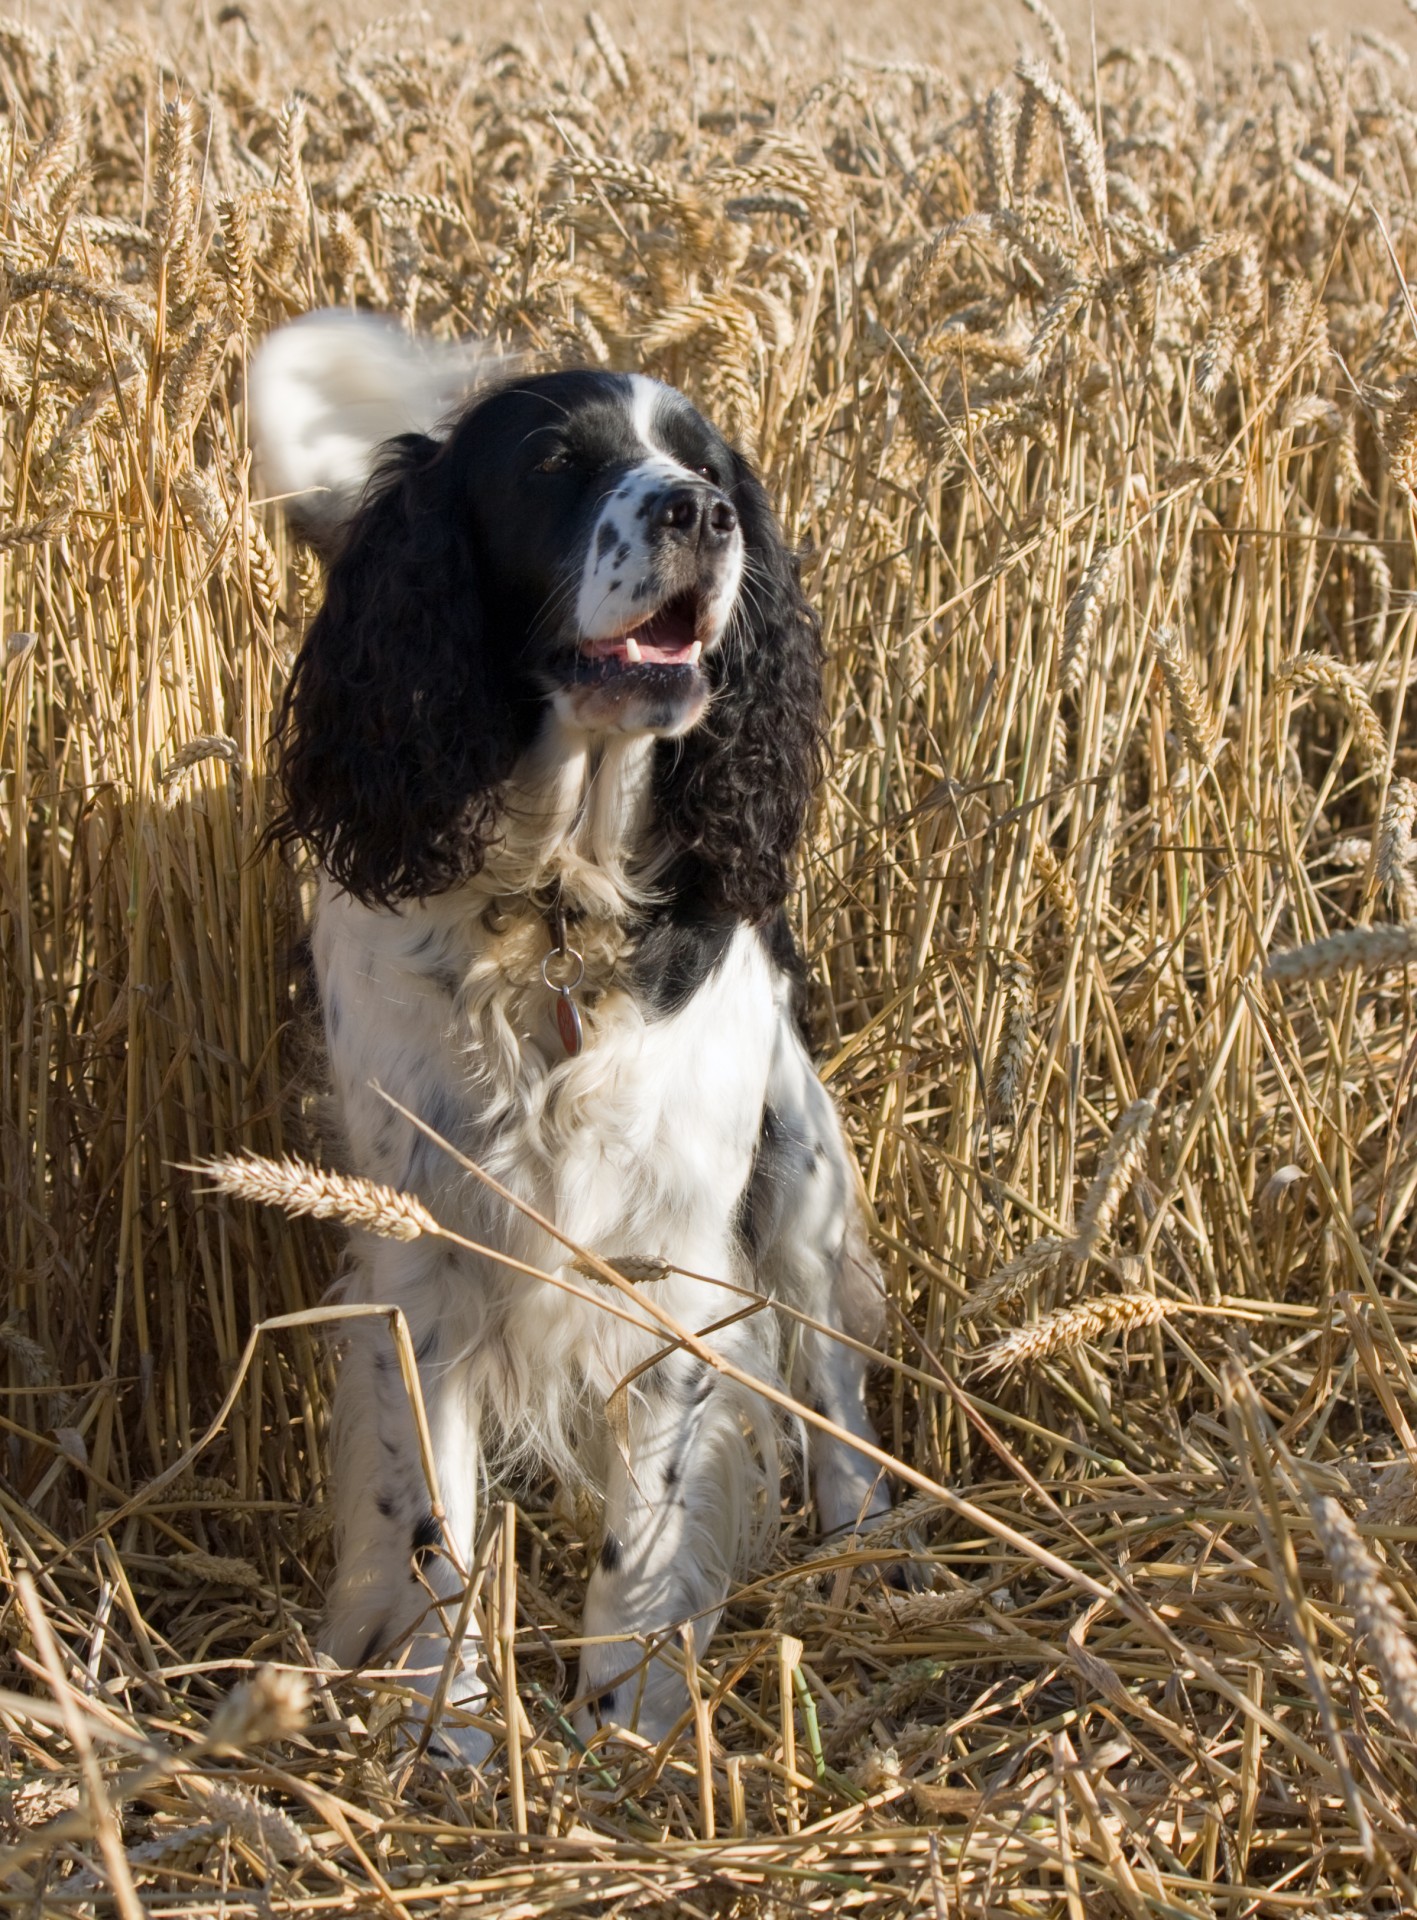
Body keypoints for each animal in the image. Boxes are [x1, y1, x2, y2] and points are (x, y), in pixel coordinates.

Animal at [243, 311, 883, 1758]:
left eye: (713, 464)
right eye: (552, 465)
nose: (700, 511)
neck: (551, 908)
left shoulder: (671, 1260)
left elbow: (644, 1526)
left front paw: (625, 1721)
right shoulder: (422, 1265)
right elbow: (431, 1518)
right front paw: (453, 1730)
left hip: (798, 1172)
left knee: (832, 1377)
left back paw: (876, 1552)